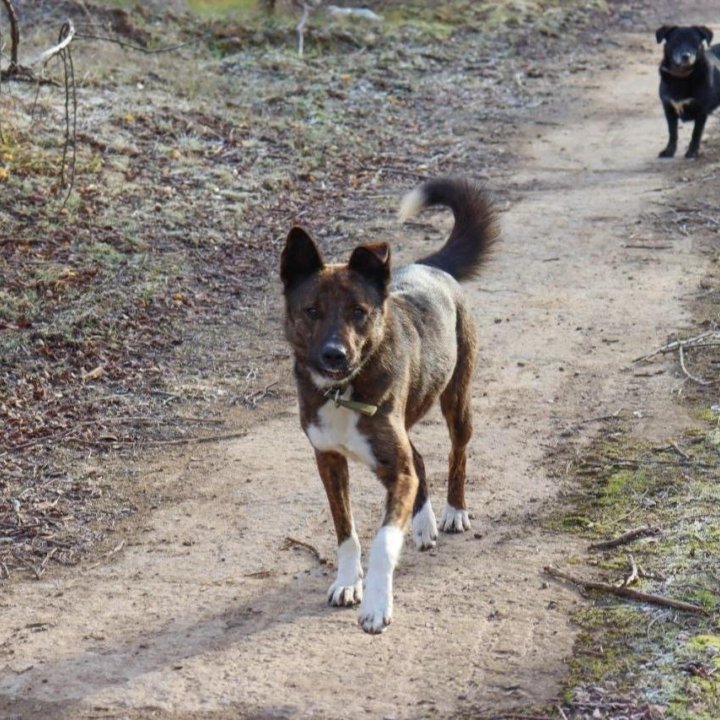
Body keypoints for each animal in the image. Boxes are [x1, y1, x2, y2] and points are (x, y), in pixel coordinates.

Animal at [660, 24, 720, 158]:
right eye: (676, 41)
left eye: (694, 41)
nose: (685, 56)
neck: (682, 76)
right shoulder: (669, 109)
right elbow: (672, 133)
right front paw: (669, 151)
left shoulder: (701, 110)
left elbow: (696, 133)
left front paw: (692, 152)